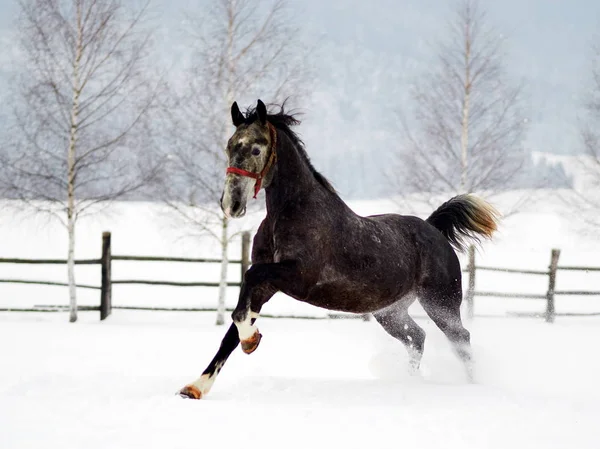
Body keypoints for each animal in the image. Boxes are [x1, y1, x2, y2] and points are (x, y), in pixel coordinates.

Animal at [179, 100, 502, 398]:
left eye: (256, 149)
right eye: (229, 147)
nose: (231, 205)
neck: (292, 213)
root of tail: (433, 229)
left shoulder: (297, 278)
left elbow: (249, 283)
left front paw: (251, 339)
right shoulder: (267, 285)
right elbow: (234, 324)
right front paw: (196, 387)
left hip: (440, 302)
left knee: (460, 339)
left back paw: (473, 387)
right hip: (391, 313)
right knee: (417, 338)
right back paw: (409, 383)